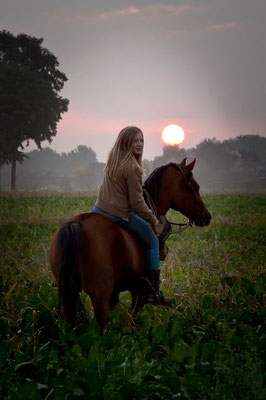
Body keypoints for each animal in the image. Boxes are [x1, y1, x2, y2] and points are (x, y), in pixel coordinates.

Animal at [48, 158, 211, 332]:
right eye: (195, 187)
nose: (207, 216)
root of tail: (76, 224)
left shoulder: (117, 293)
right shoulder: (138, 291)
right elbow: (134, 318)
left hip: (67, 293)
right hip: (99, 295)